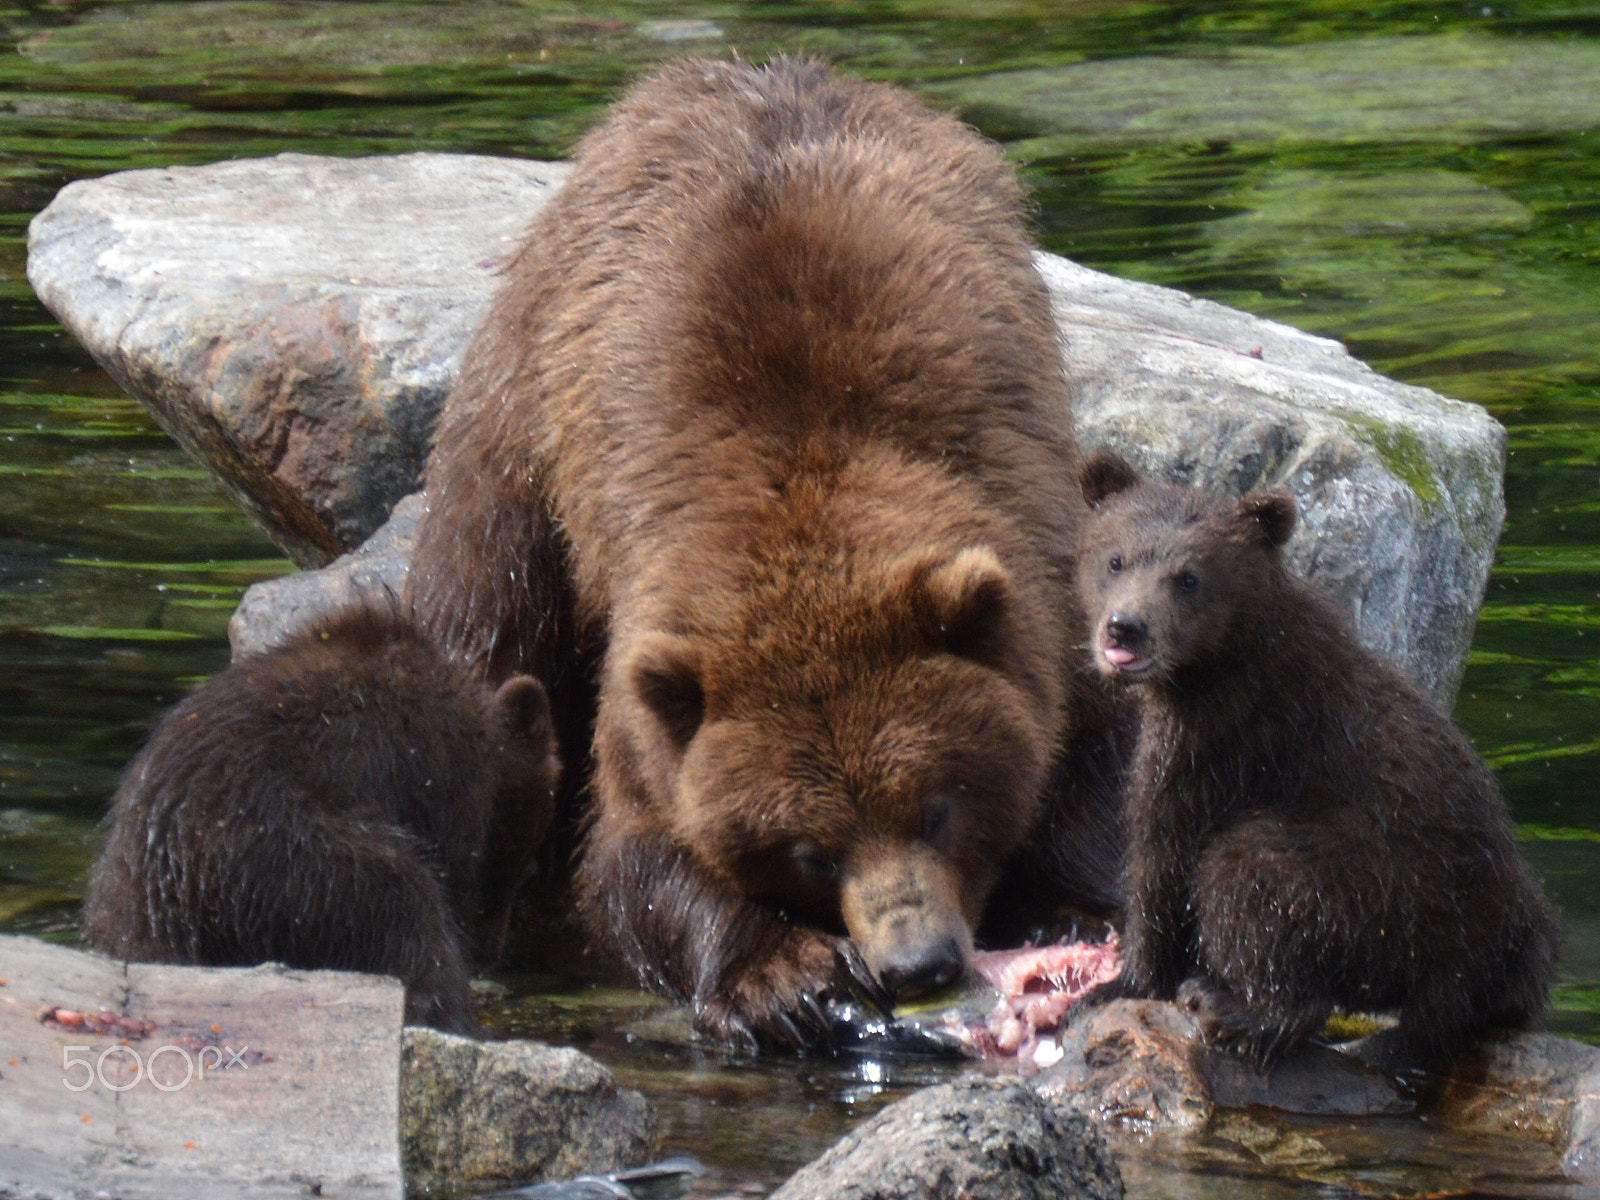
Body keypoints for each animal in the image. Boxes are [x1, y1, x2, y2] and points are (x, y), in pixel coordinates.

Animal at [82, 604, 560, 1033]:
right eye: (526, 862)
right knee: (405, 914)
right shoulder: (446, 785)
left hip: (123, 896)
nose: (490, 951)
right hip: (292, 858)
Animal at [405, 57, 1128, 1050]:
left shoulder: (1041, 569)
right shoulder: (654, 655)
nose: (920, 963)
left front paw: (1069, 905)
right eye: (809, 851)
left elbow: (1089, 766)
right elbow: (639, 852)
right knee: (488, 620)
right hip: (521, 431)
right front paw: (787, 977)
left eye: (939, 806)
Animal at [1072, 448, 1558, 1077]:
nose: (1126, 627)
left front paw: (1118, 982)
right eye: (1115, 558)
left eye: (1189, 577)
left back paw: (1234, 1009)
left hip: (1387, 885)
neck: (1208, 664)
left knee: (1253, 875)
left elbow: (1165, 846)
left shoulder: (1228, 737)